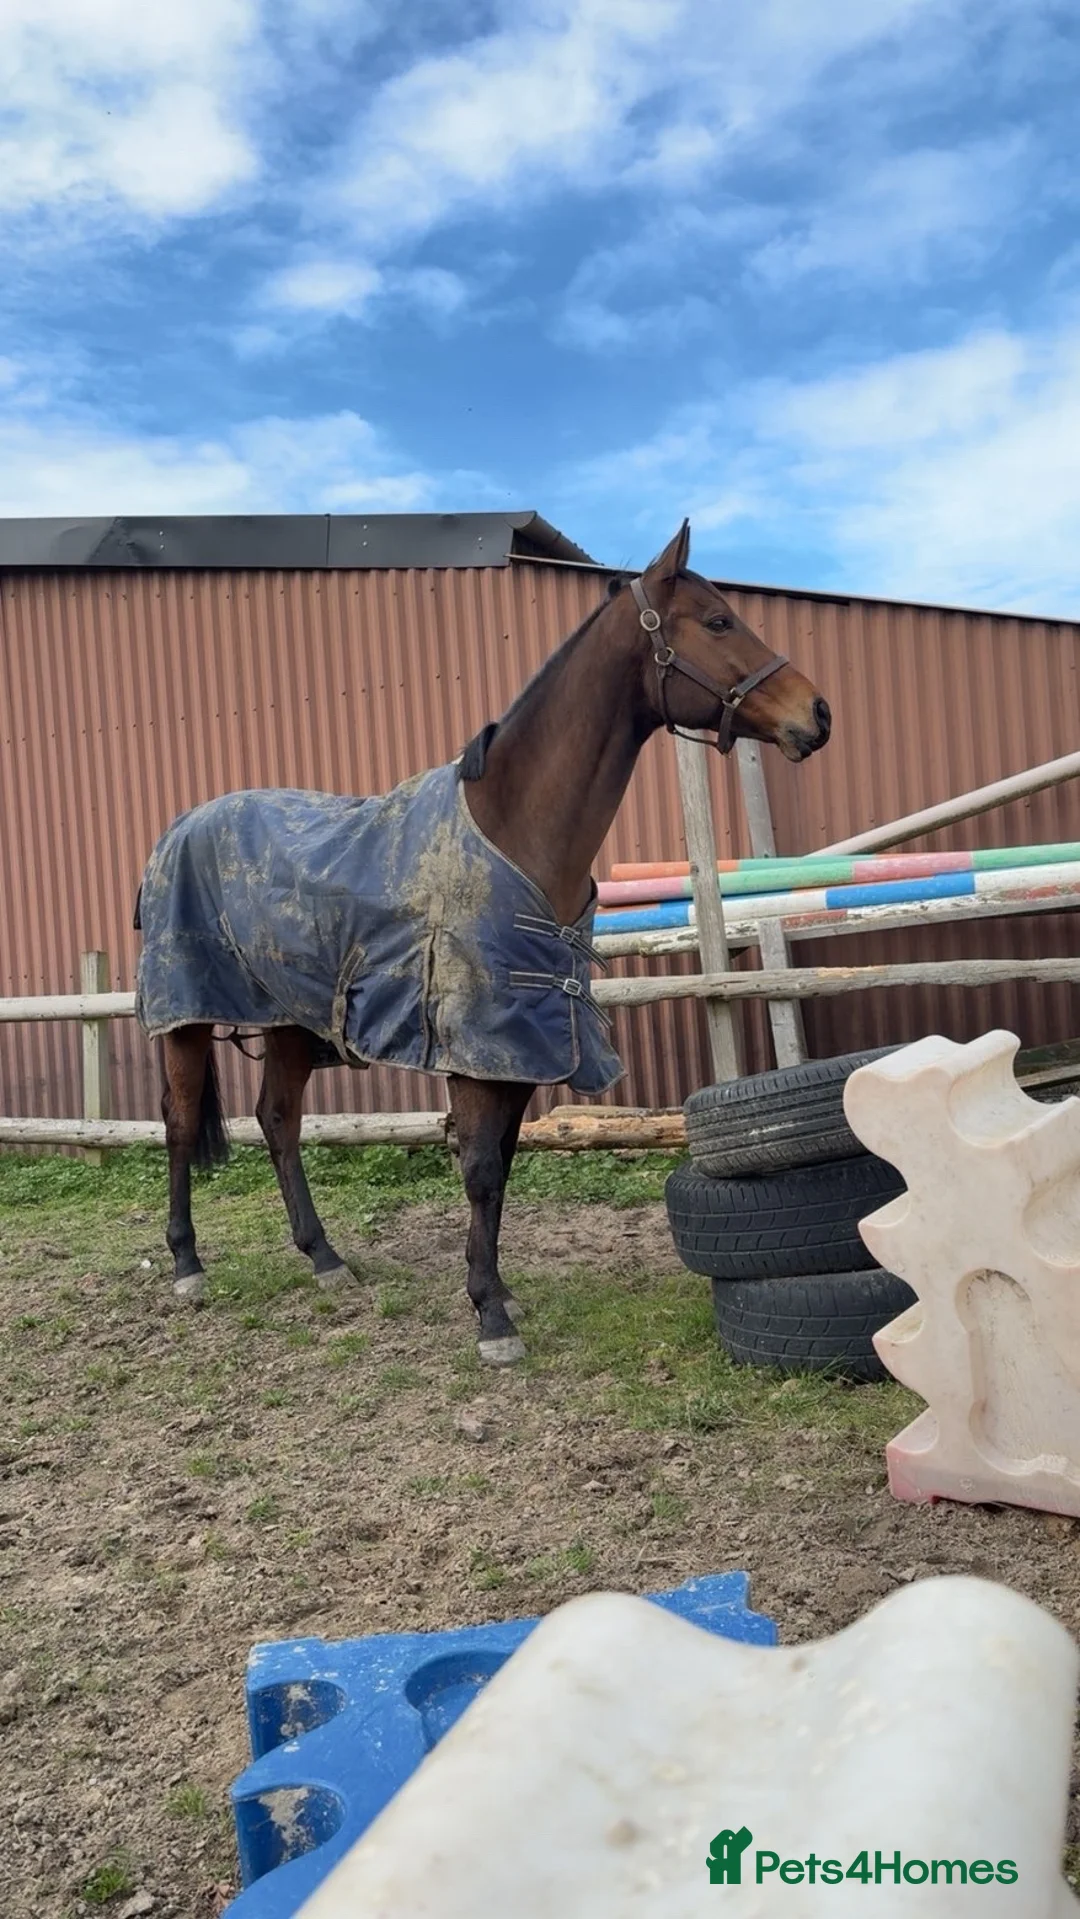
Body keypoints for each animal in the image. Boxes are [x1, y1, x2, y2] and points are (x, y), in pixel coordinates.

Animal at [134, 520, 831, 1366]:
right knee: (178, 1122)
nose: (818, 713)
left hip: (293, 1022)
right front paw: (491, 1318)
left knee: (277, 1120)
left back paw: (324, 1256)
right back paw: (187, 1264)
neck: (513, 828)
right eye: (719, 621)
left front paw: (495, 1290)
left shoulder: (529, 1043)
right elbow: (480, 1169)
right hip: (187, 1017)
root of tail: (177, 830)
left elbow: (501, 1164)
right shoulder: (479, 1045)